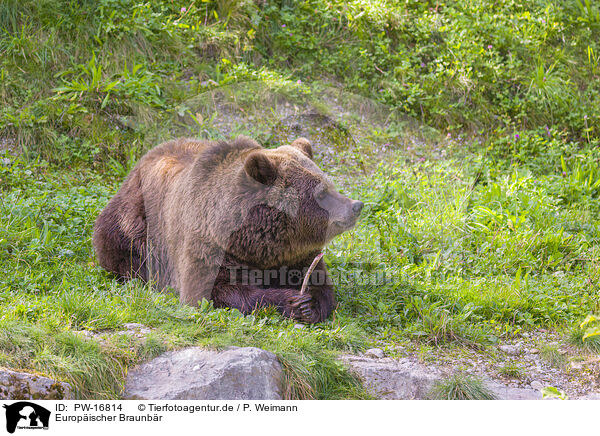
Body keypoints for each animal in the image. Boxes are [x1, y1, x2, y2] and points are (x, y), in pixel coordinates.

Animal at [92, 137, 364, 324]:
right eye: (321, 192)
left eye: (329, 184)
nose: (355, 206)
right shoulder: (208, 244)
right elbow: (212, 291)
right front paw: (292, 300)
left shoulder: (297, 254)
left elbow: (322, 286)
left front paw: (309, 304)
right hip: (135, 221)